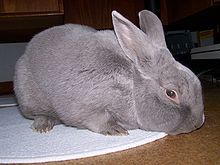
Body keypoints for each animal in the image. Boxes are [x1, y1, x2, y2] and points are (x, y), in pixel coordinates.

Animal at [13, 10, 205, 135]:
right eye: (171, 93)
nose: (198, 123)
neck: (132, 86)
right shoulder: (88, 107)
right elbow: (98, 120)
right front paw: (116, 130)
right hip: (29, 98)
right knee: (38, 114)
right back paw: (43, 126)